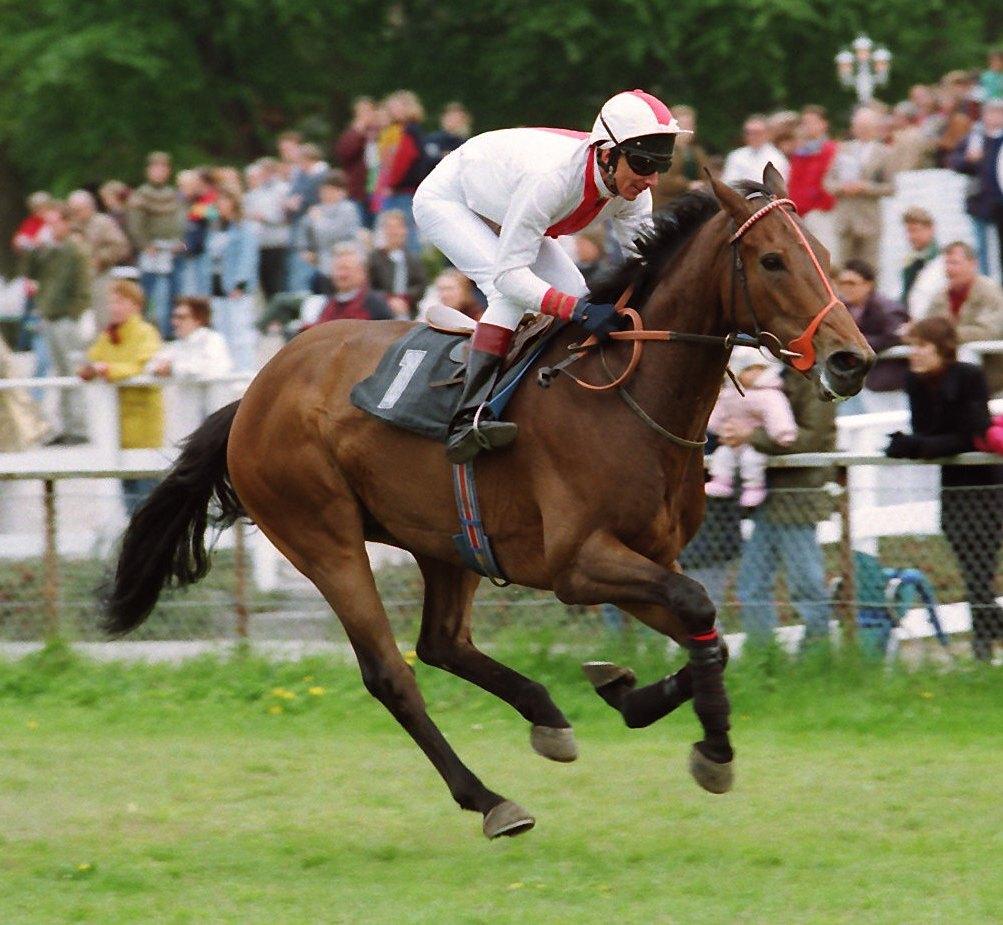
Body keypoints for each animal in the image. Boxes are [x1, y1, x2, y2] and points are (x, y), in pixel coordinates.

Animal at [101, 165, 870, 834]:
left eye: (827, 255)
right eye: (772, 261)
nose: (851, 359)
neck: (626, 392)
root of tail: (255, 393)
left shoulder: (647, 554)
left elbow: (708, 633)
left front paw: (629, 691)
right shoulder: (577, 563)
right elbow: (699, 609)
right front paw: (710, 748)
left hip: (447, 541)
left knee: (441, 642)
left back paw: (546, 716)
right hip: (323, 536)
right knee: (391, 671)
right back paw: (491, 800)